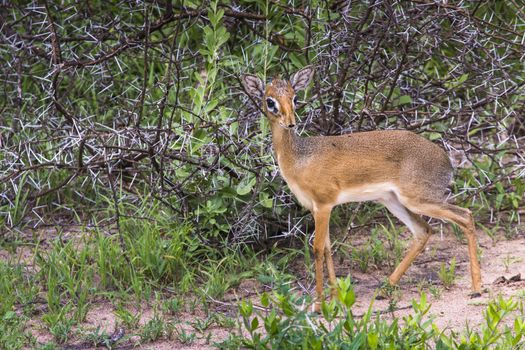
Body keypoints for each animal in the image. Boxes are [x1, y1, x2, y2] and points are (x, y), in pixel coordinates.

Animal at [239, 67, 482, 310]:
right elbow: (327, 248)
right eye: (270, 101)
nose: (290, 123)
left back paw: (477, 289)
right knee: (423, 230)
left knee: (466, 215)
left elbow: (317, 249)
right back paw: (384, 288)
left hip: (418, 200)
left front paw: (318, 305)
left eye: (295, 97)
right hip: (392, 201)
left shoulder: (323, 205)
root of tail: (447, 160)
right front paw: (336, 299)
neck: (300, 158)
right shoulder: (316, 208)